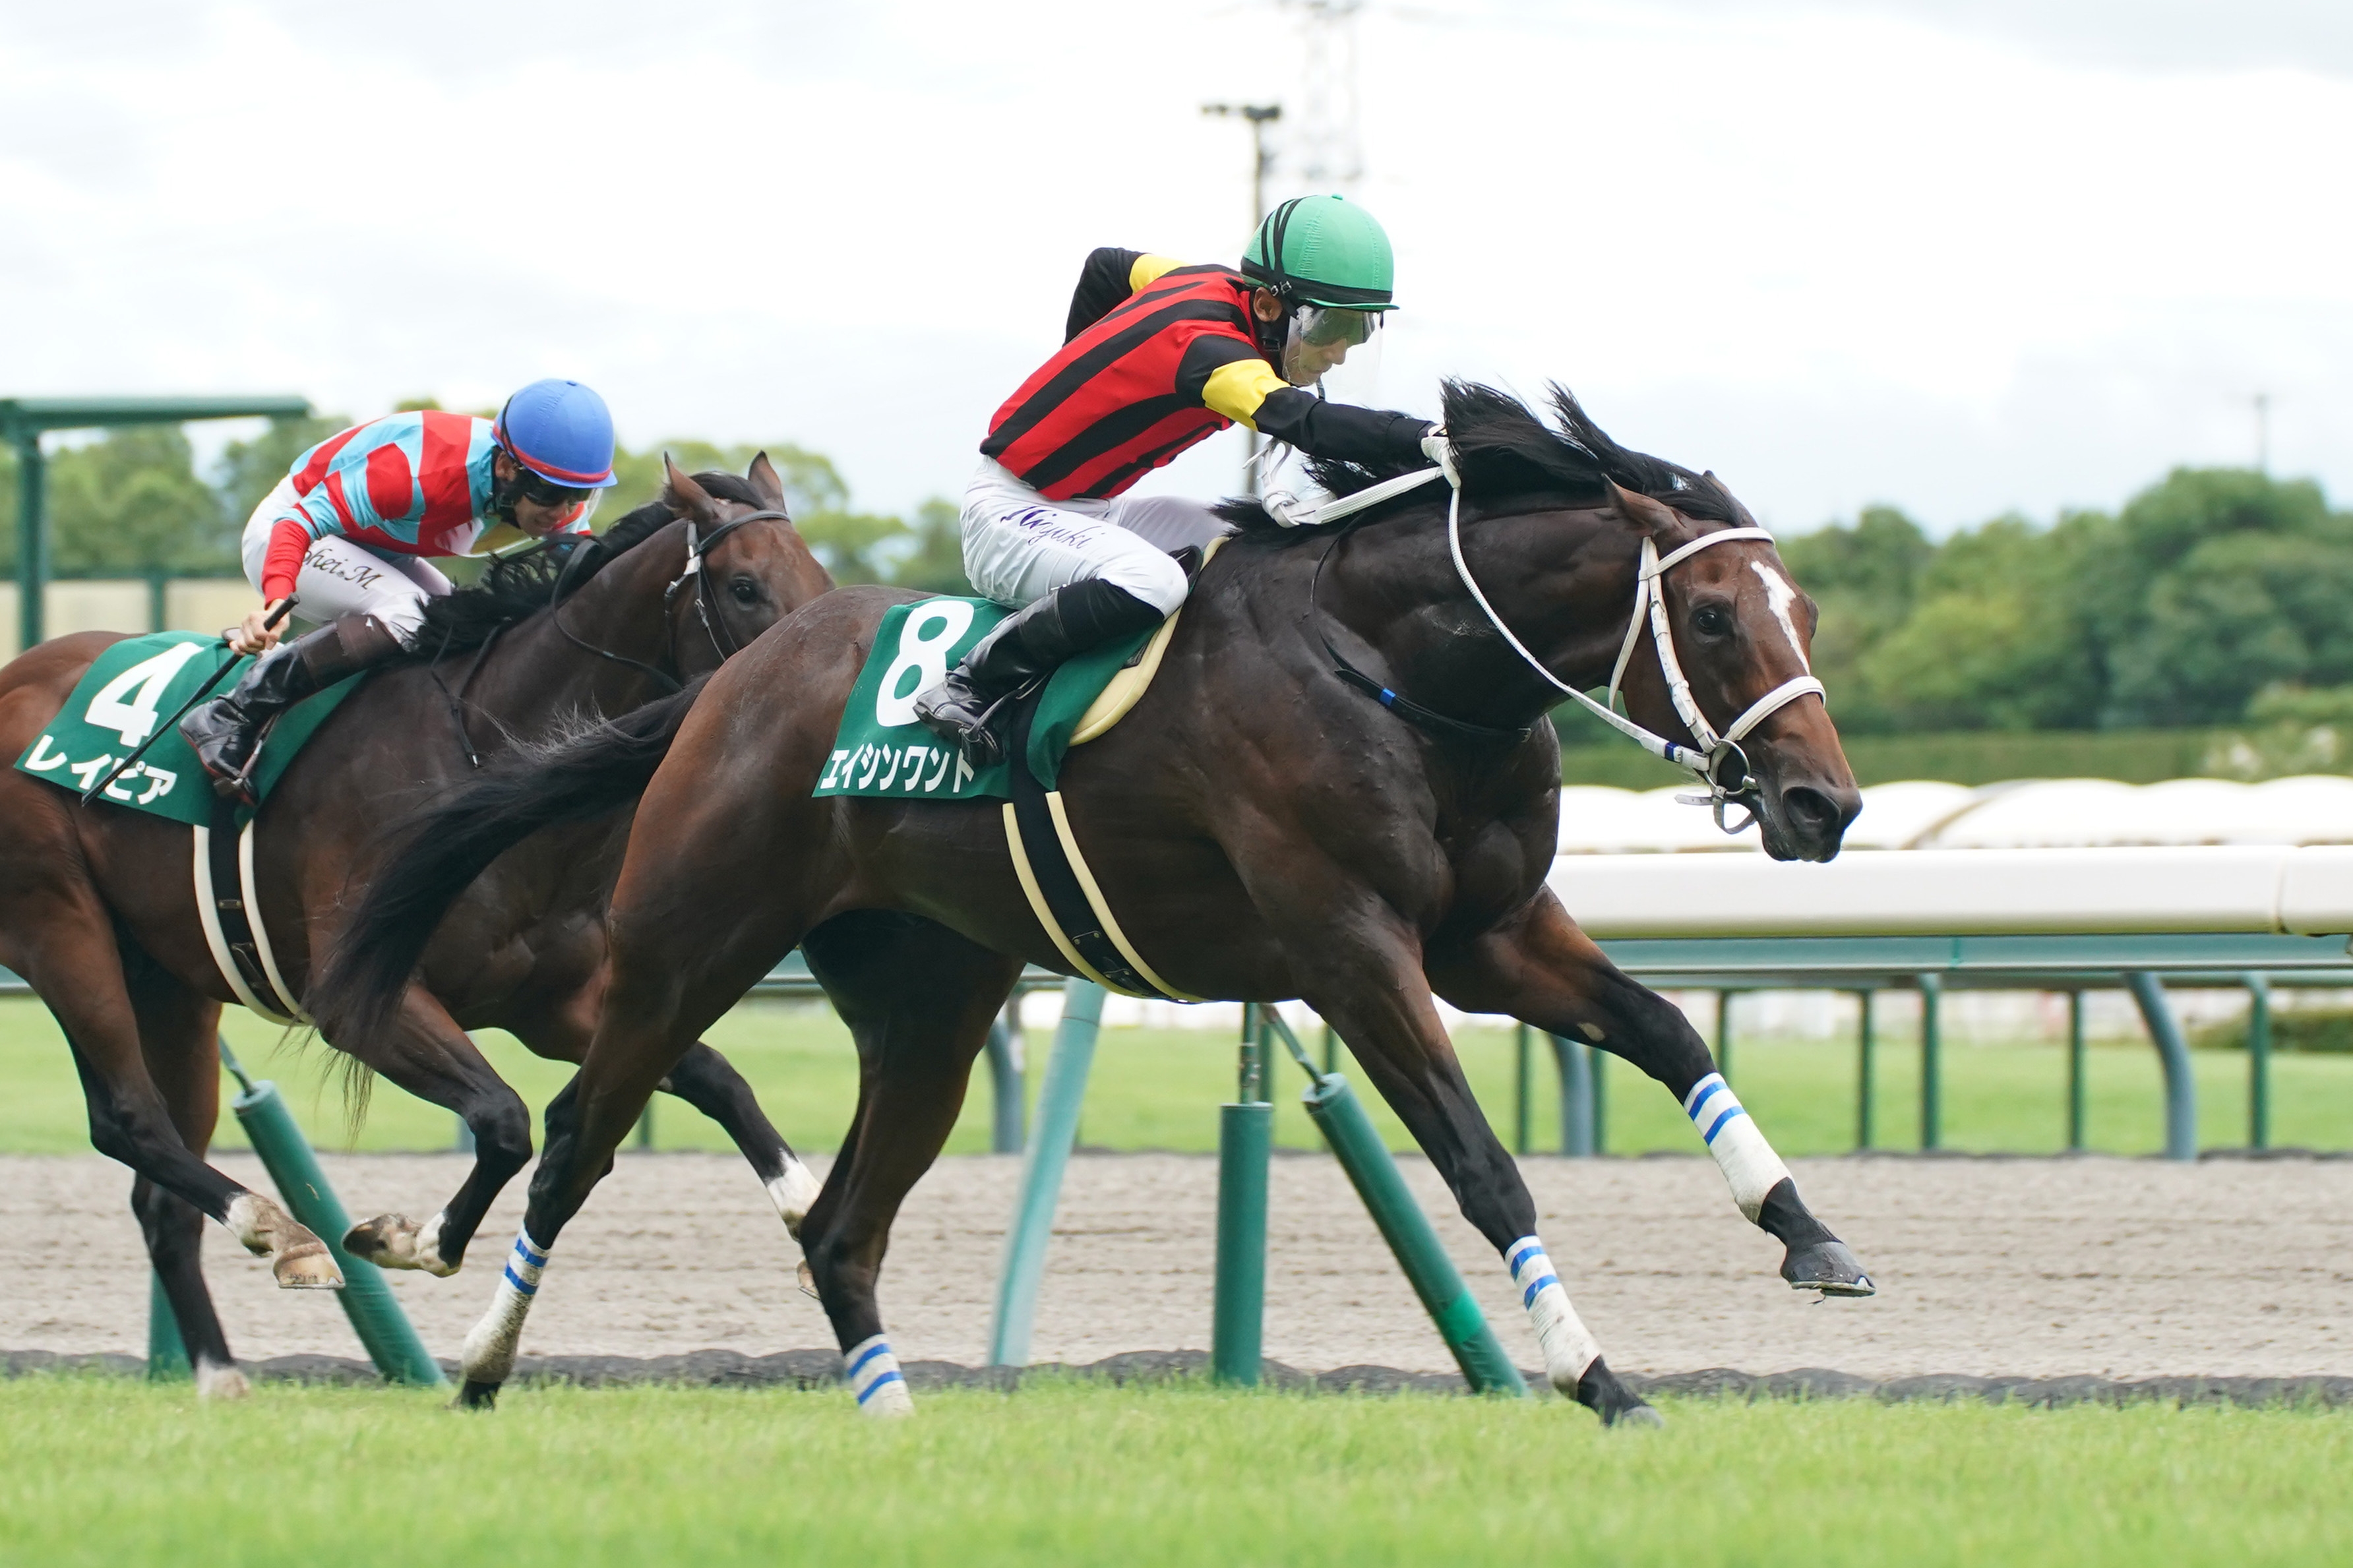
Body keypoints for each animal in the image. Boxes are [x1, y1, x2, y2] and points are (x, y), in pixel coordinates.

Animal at [0, 456, 832, 1397]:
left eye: (819, 578)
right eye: (744, 586)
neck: (484, 755)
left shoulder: (555, 1004)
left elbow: (718, 1078)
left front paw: (810, 1216)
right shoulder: (359, 1001)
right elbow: (503, 1119)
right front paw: (411, 1240)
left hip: (170, 980)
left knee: (158, 1193)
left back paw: (219, 1370)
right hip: (58, 922)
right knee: (126, 1120)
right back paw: (281, 1231)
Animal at [316, 385, 1870, 1425]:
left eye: (1802, 611)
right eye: (1714, 618)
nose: (1823, 807)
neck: (1395, 666)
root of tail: (725, 684)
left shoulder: (1483, 937)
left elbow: (1668, 1034)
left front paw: (1810, 1237)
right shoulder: (1353, 946)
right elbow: (1481, 1162)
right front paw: (1599, 1376)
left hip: (931, 1005)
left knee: (839, 1224)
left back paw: (891, 1417)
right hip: (681, 946)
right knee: (577, 1139)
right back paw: (477, 1364)